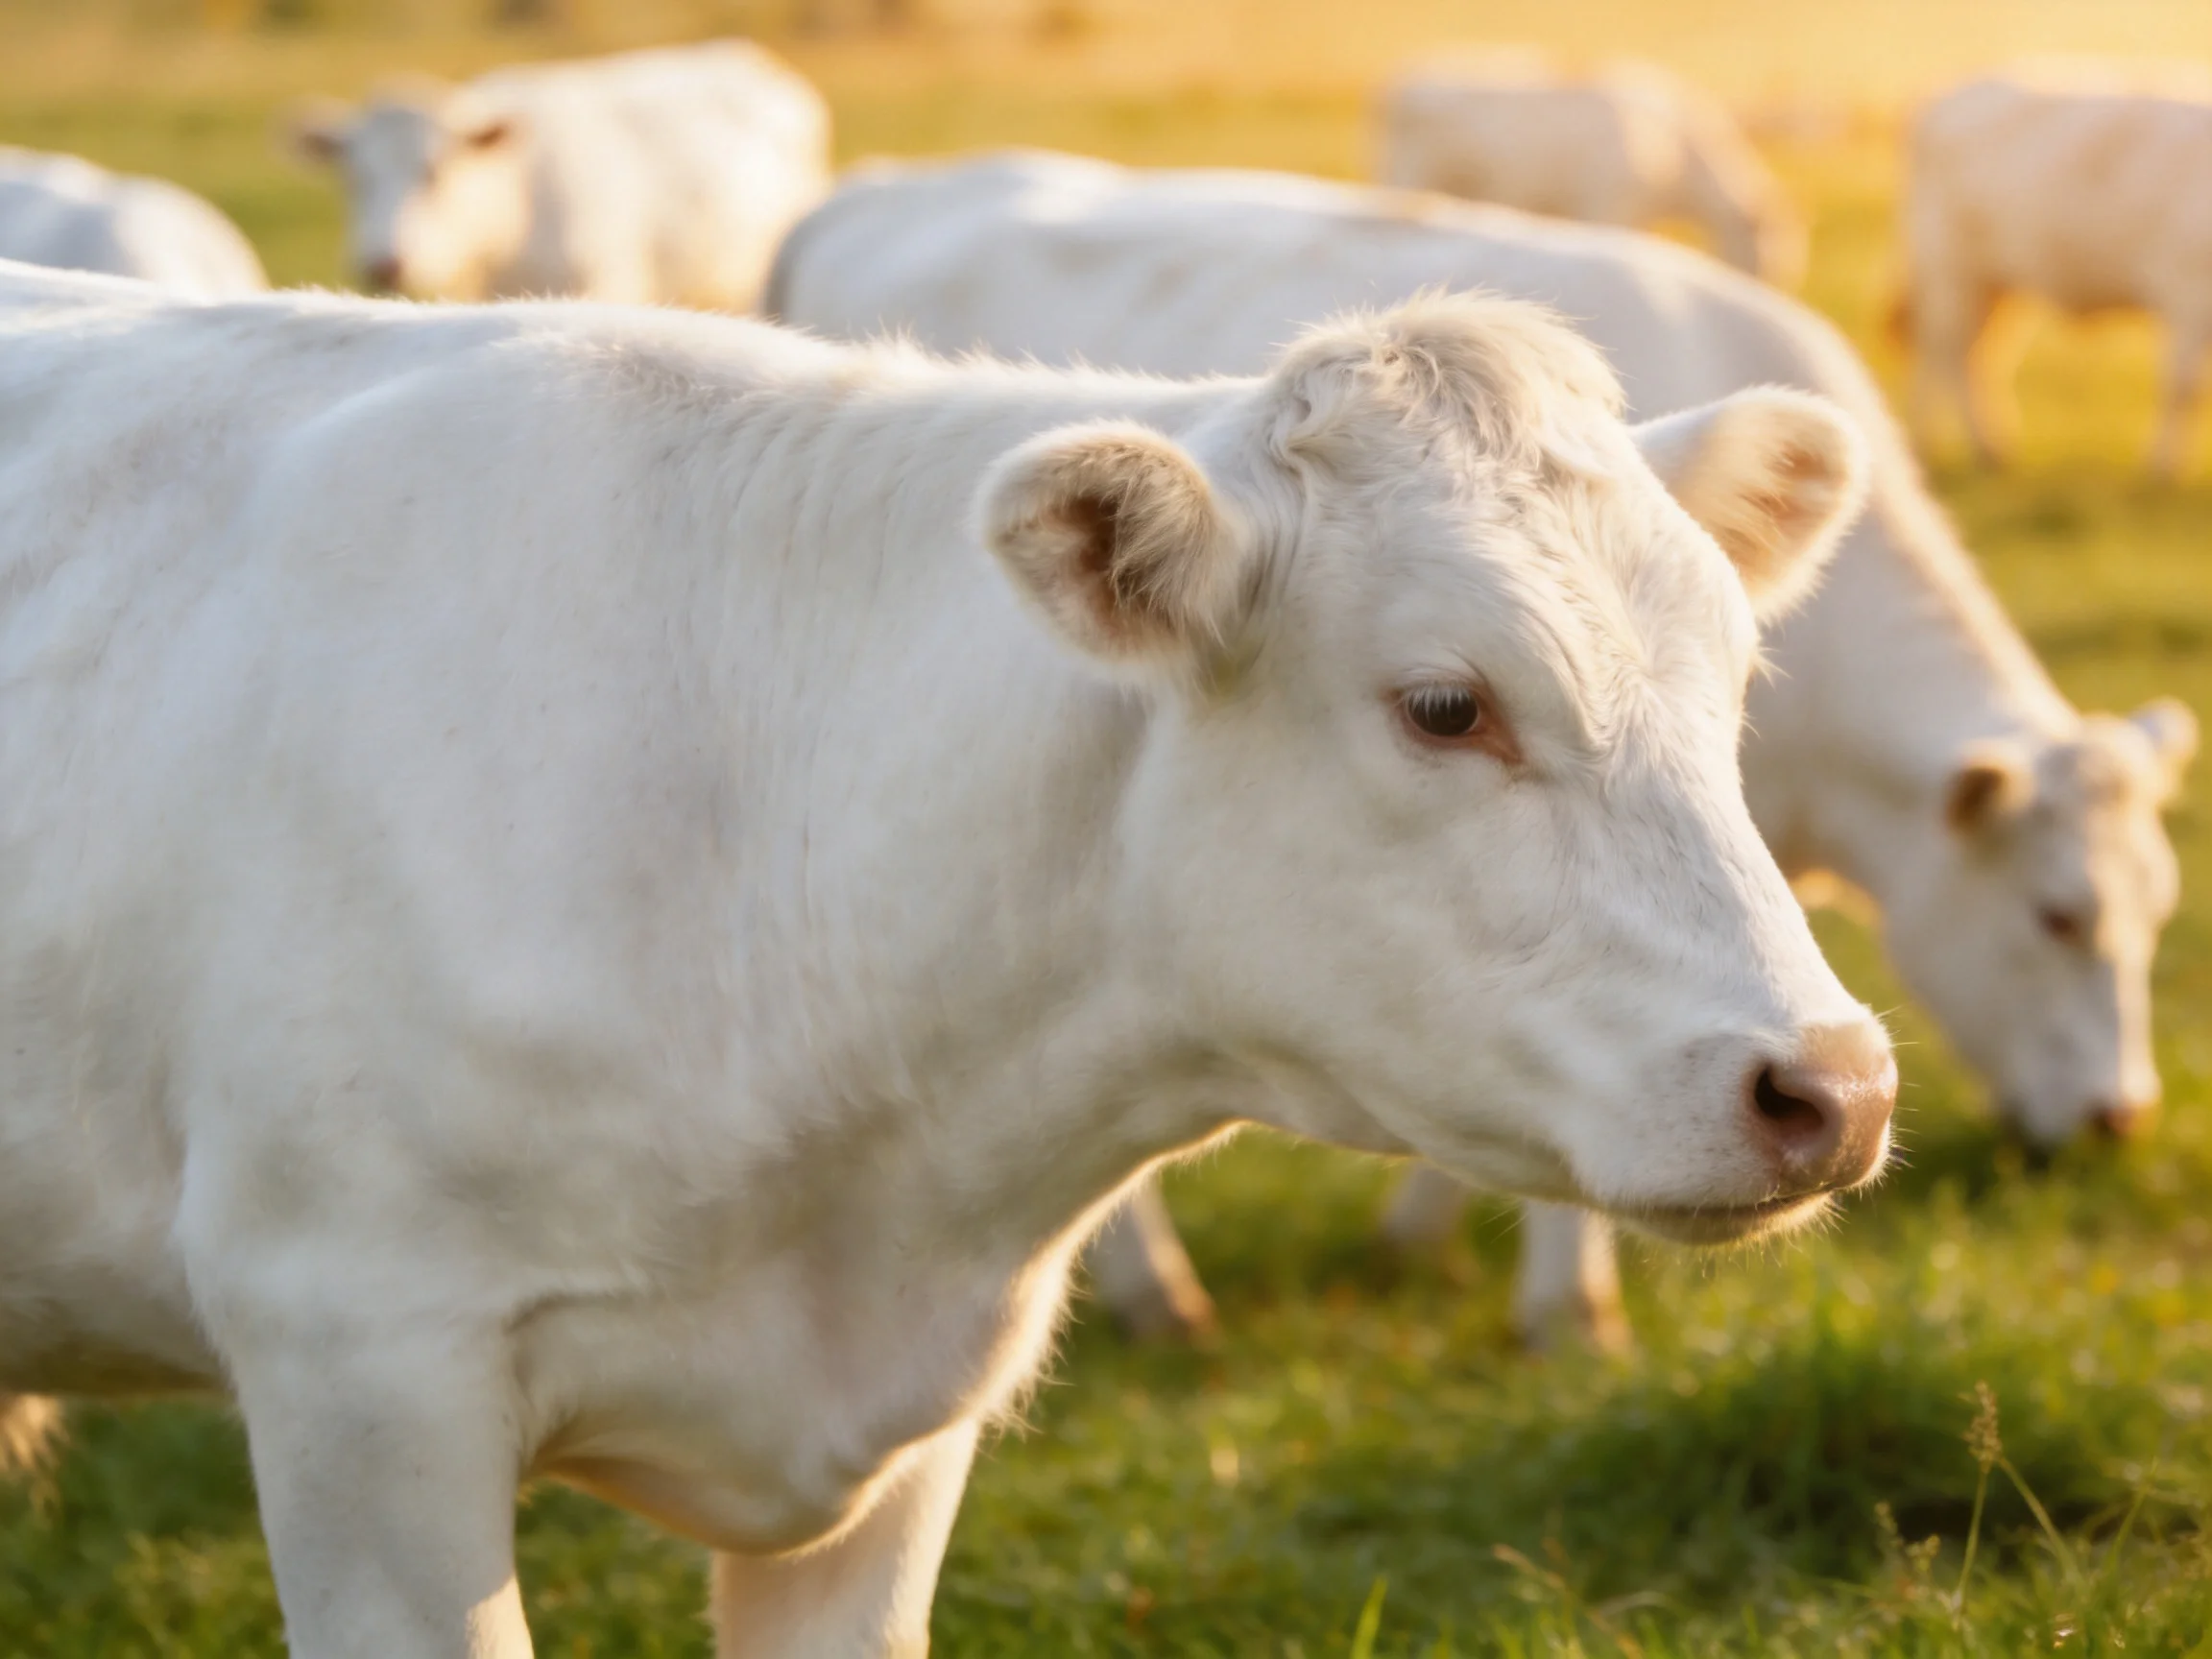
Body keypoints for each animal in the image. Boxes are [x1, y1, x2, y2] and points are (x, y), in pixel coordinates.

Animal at [768, 150, 2196, 1347]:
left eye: (1735, 682)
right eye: (2060, 916)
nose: (2125, 1120)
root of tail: (882, 186)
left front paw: (1420, 1232)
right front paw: (1568, 1312)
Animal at [1901, 65, 2212, 477]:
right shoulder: (2190, 291)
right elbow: (2183, 387)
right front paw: (2161, 469)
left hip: (1993, 283)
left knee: (1973, 353)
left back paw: (1964, 446)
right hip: (1949, 266)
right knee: (1950, 352)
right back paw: (1969, 447)